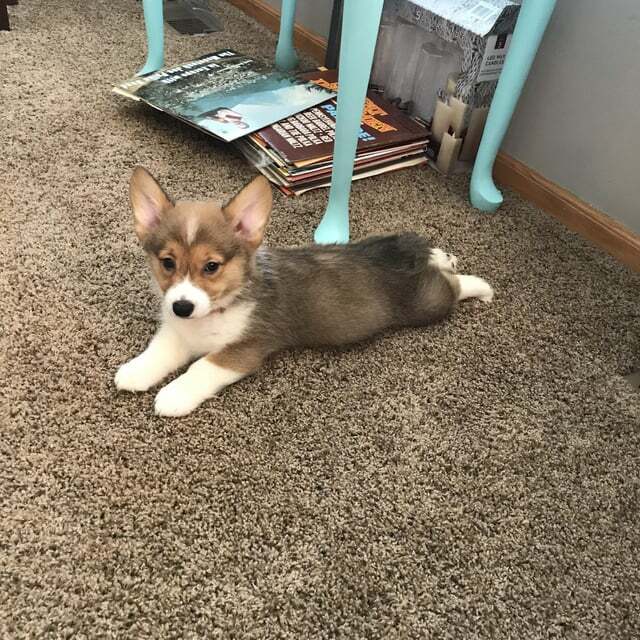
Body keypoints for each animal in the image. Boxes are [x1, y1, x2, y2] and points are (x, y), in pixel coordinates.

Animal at [115, 166, 496, 416]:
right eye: (167, 262)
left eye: (211, 266)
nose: (181, 307)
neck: (216, 311)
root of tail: (405, 259)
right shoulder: (177, 334)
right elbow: (158, 351)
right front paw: (134, 371)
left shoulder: (246, 349)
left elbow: (203, 367)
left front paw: (173, 394)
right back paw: (442, 254)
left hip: (427, 304)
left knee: (452, 286)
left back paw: (477, 284)